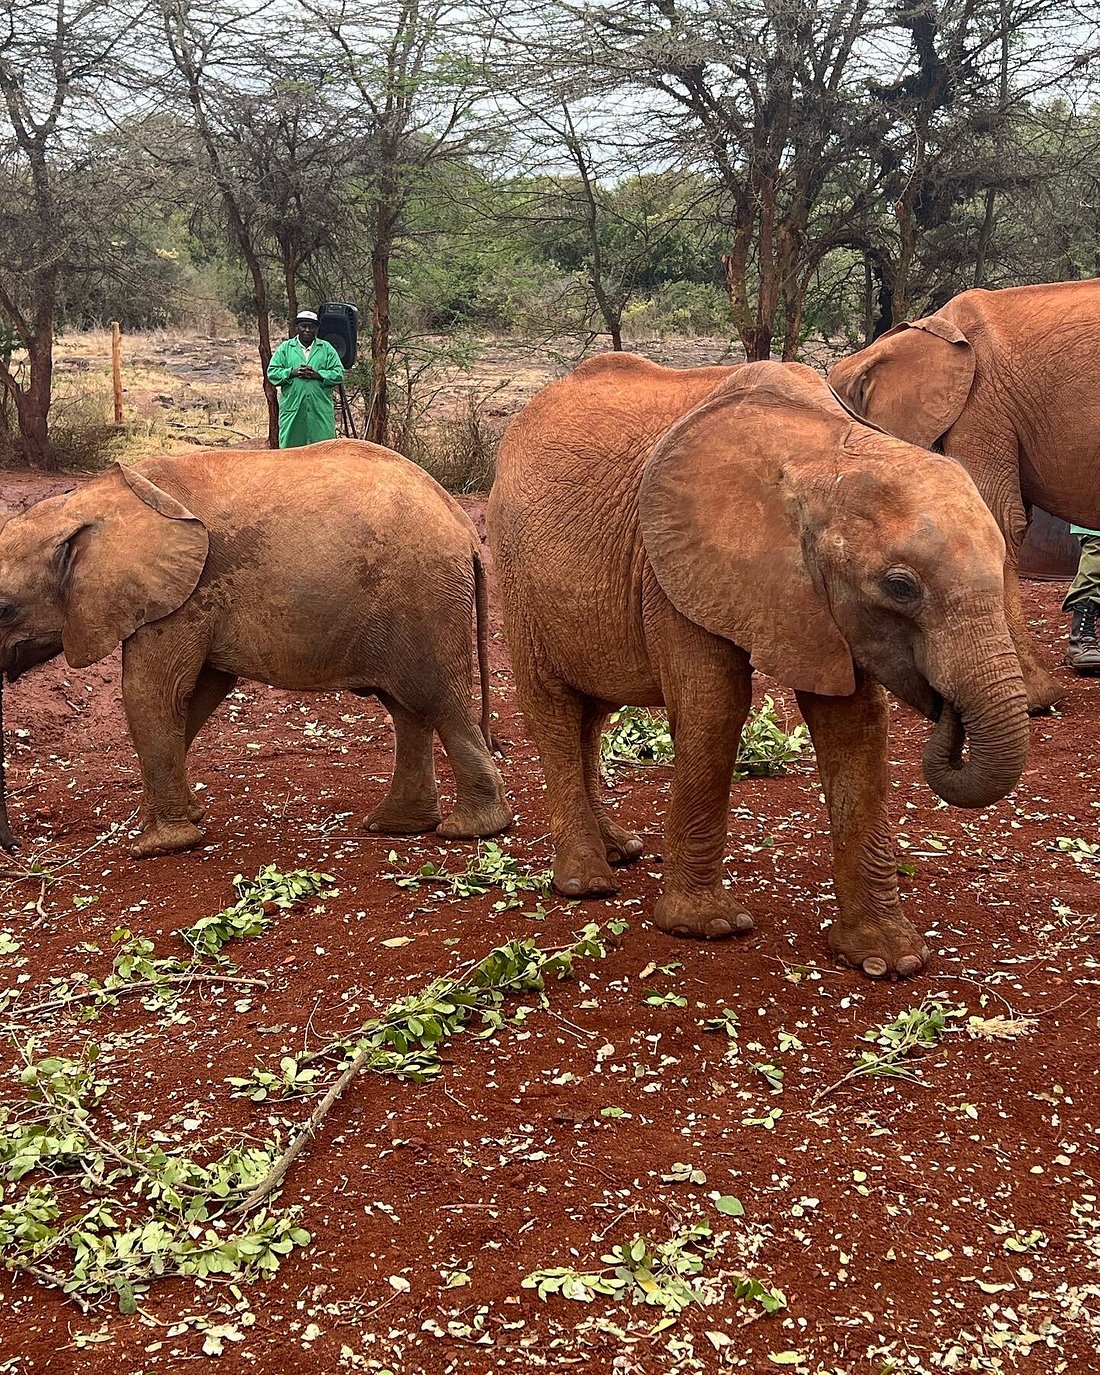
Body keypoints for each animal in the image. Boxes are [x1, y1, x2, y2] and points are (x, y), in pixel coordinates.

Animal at [0, 440, 511, 852]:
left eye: (5, 608)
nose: (16, 846)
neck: (87, 500)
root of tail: (466, 529)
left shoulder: (184, 595)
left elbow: (154, 693)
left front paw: (154, 846)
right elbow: (197, 694)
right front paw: (175, 819)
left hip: (423, 596)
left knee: (439, 701)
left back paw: (471, 830)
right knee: (407, 709)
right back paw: (395, 826)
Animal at [489, 354, 1034, 979]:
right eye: (901, 587)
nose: (947, 710)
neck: (830, 451)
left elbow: (857, 727)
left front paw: (888, 960)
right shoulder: (674, 569)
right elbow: (715, 708)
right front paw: (707, 928)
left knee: (592, 714)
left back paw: (621, 851)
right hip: (516, 576)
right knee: (553, 710)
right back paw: (587, 882)